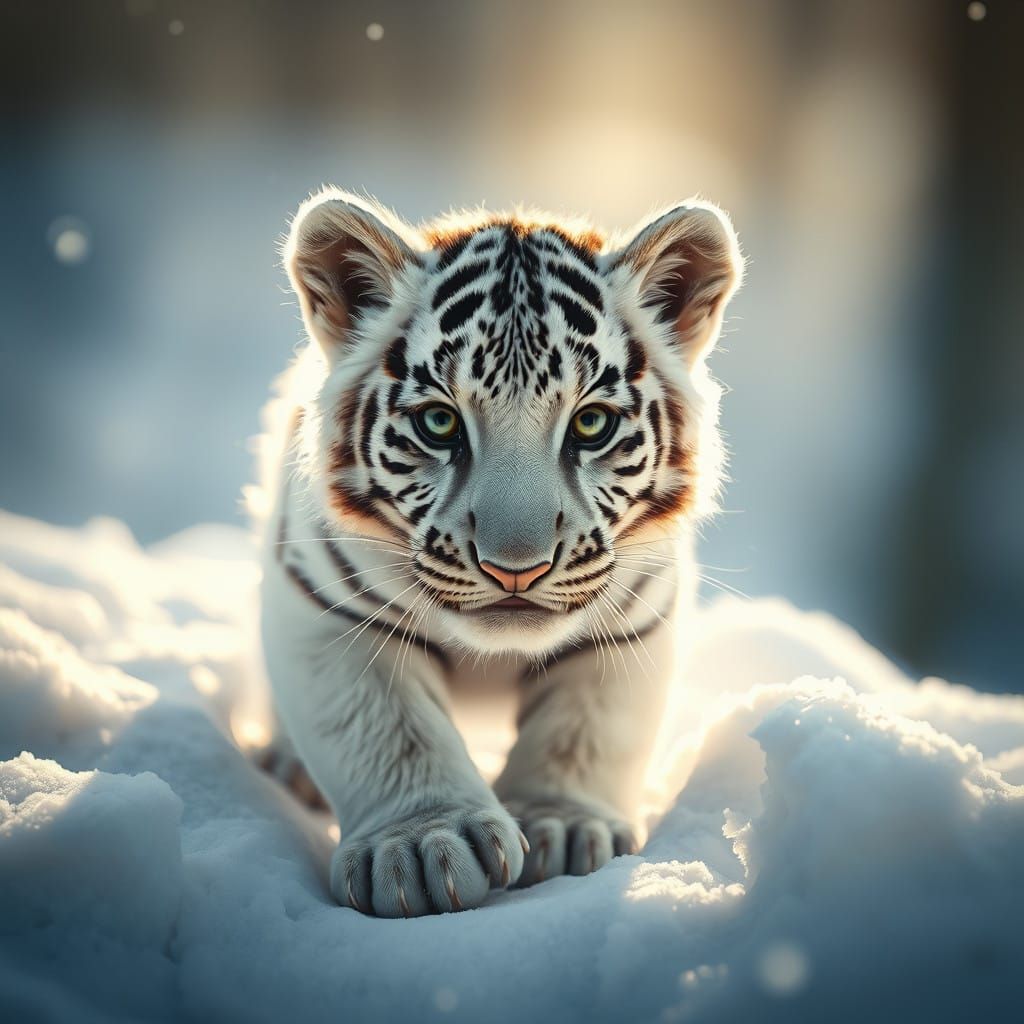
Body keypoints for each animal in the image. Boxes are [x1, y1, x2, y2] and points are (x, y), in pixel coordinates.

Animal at [255, 187, 743, 917]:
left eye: (591, 424)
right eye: (439, 423)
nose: (517, 568)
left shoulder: (632, 622)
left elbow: (586, 731)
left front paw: (563, 829)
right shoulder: (331, 611)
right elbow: (388, 731)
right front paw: (422, 847)